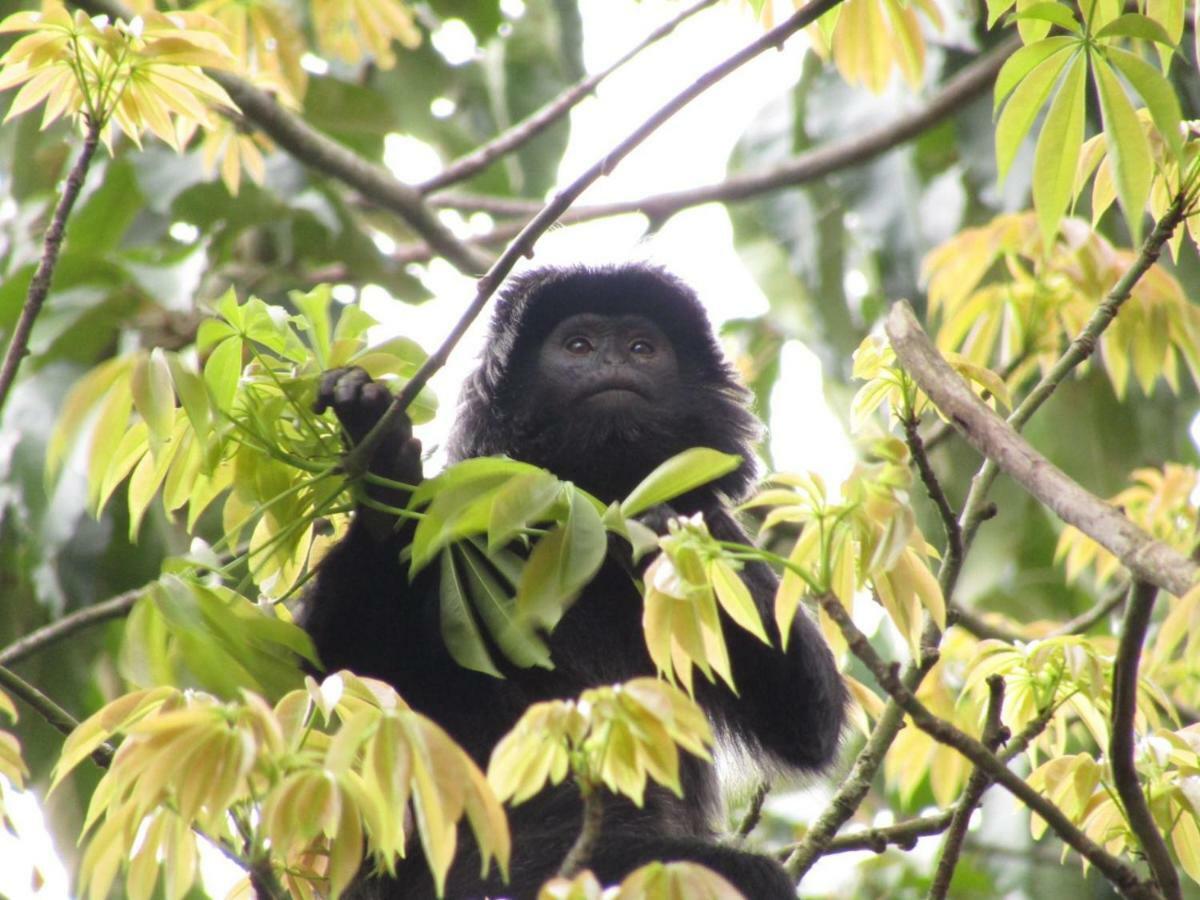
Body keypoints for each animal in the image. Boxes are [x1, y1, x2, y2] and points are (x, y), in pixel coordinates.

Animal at [300, 264, 844, 900]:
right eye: (579, 345)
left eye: (641, 347)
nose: (613, 360)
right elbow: (331, 668)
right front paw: (384, 468)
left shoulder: (712, 515)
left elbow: (807, 721)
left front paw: (662, 537)